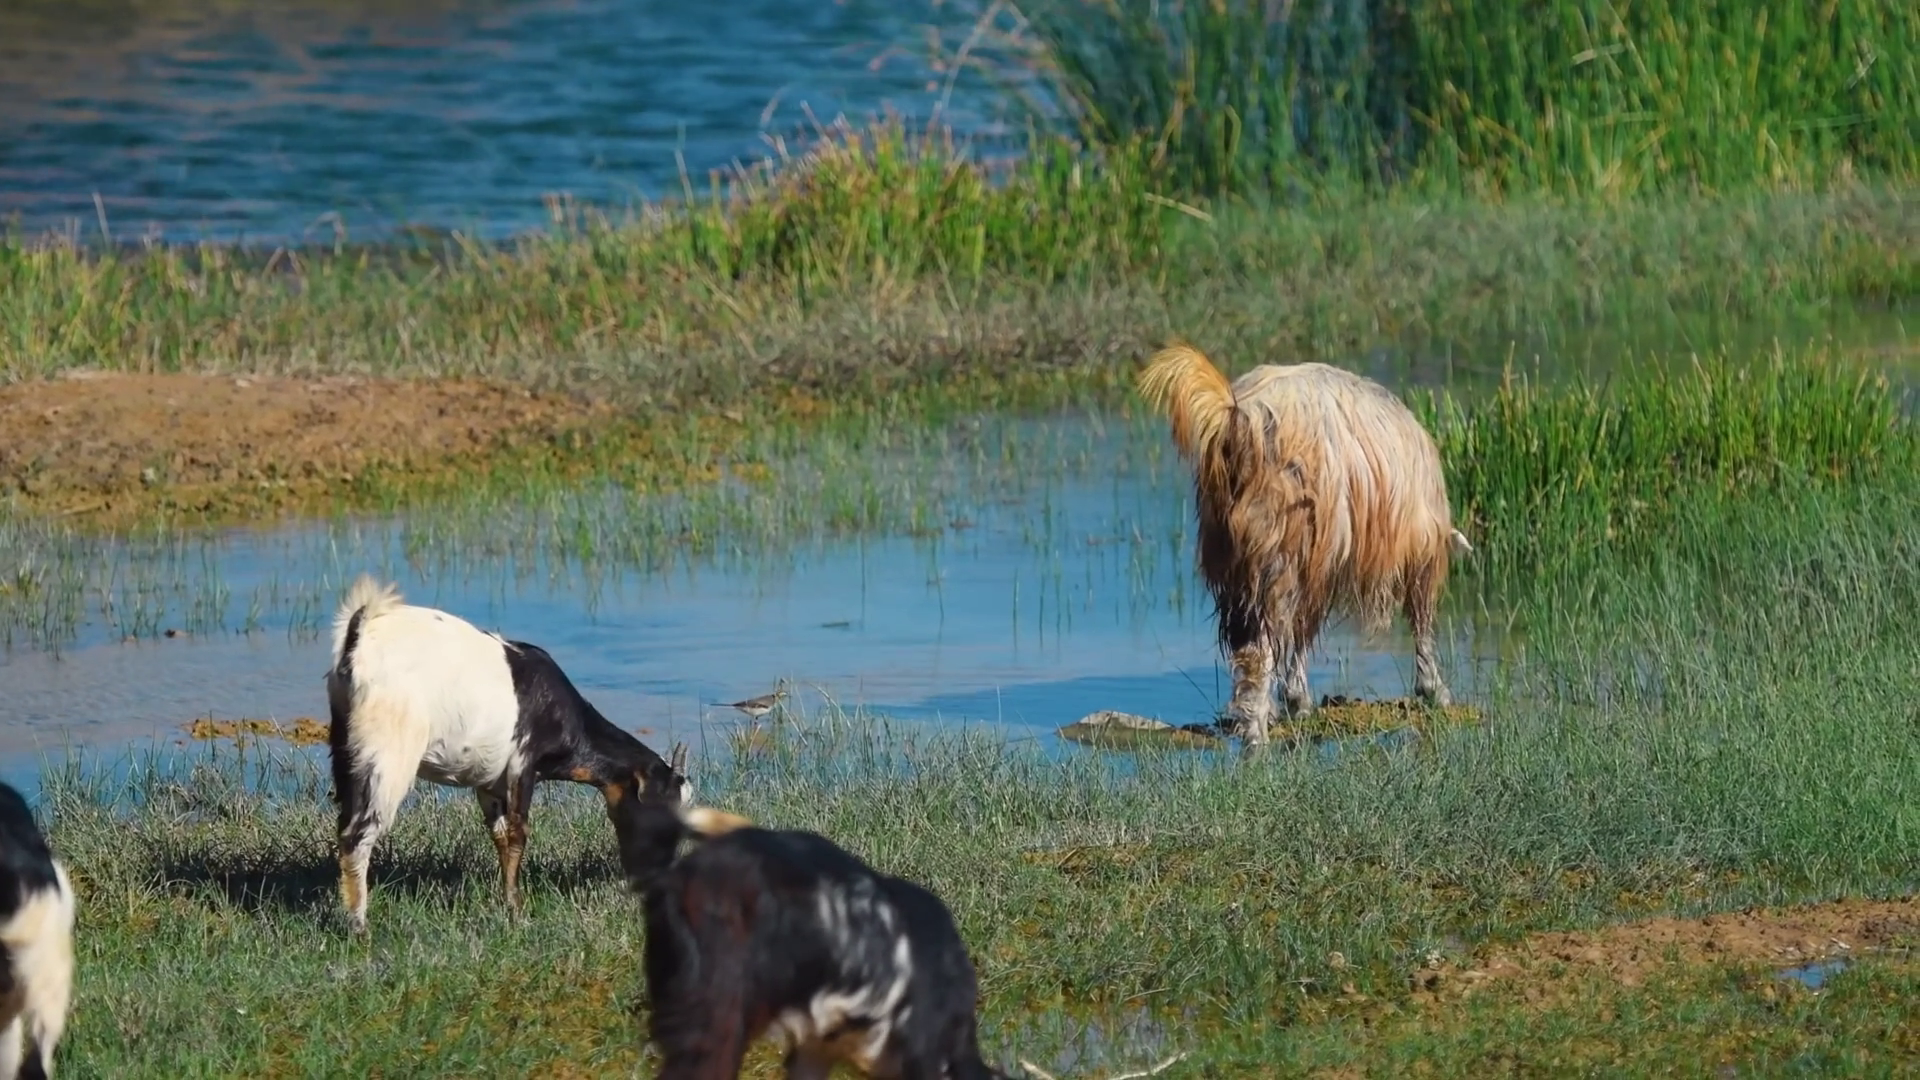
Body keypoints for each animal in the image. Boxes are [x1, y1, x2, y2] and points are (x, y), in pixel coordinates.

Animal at [325, 574, 693, 931]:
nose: (660, 876)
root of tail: (360, 634)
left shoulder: (490, 783)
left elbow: (500, 835)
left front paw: (507, 902)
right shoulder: (523, 765)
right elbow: (519, 833)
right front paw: (518, 913)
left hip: (344, 748)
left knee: (344, 824)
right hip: (388, 754)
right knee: (359, 834)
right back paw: (360, 927)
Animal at [1139, 342, 1470, 743]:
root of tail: (1239, 421)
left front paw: (1296, 701)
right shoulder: (1408, 550)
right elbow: (1419, 620)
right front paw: (1434, 690)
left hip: (1233, 549)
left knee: (1247, 638)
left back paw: (1258, 717)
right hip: (1284, 545)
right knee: (1263, 645)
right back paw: (1256, 734)